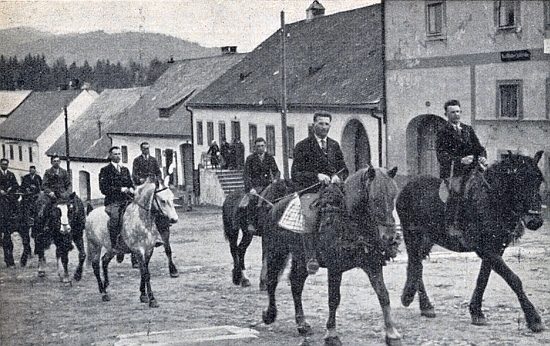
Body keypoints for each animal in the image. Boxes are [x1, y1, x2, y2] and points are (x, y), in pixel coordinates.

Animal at [85, 178, 179, 308]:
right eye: (163, 200)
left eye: (172, 198)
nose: (174, 219)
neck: (142, 220)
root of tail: (90, 214)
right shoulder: (138, 250)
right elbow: (146, 273)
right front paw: (152, 299)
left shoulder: (148, 250)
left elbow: (143, 272)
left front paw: (143, 295)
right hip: (95, 246)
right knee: (95, 266)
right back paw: (103, 293)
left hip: (113, 248)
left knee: (104, 261)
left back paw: (105, 285)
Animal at [260, 166, 404, 344]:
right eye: (375, 198)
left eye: (393, 196)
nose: (389, 237)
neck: (349, 222)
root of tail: (274, 207)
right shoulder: (335, 268)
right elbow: (333, 299)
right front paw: (331, 334)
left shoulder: (372, 264)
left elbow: (383, 295)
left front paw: (391, 333)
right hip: (276, 252)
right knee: (272, 281)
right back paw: (270, 314)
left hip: (301, 258)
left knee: (296, 284)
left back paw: (302, 324)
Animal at [396, 151, 548, 332]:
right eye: (517, 179)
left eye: (538, 180)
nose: (535, 221)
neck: (492, 200)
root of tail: (407, 187)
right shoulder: (484, 249)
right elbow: (513, 279)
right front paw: (534, 319)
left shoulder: (496, 248)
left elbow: (484, 278)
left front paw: (476, 312)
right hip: (412, 235)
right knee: (416, 266)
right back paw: (417, 301)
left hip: (427, 239)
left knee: (415, 265)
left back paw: (418, 301)